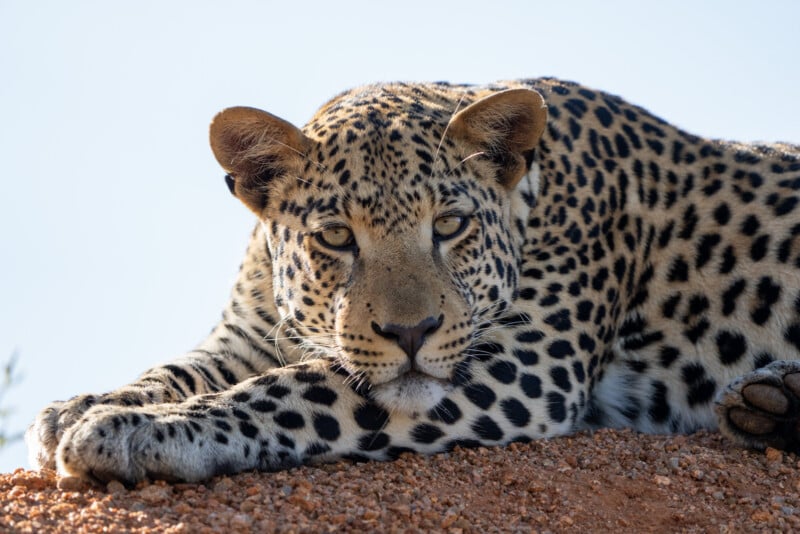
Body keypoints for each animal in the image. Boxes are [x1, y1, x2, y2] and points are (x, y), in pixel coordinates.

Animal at [25, 77, 800, 488]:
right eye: (337, 236)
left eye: (451, 224)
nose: (410, 332)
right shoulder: (248, 334)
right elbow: (181, 368)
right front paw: (78, 407)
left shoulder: (520, 367)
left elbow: (287, 393)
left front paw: (136, 430)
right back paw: (769, 404)